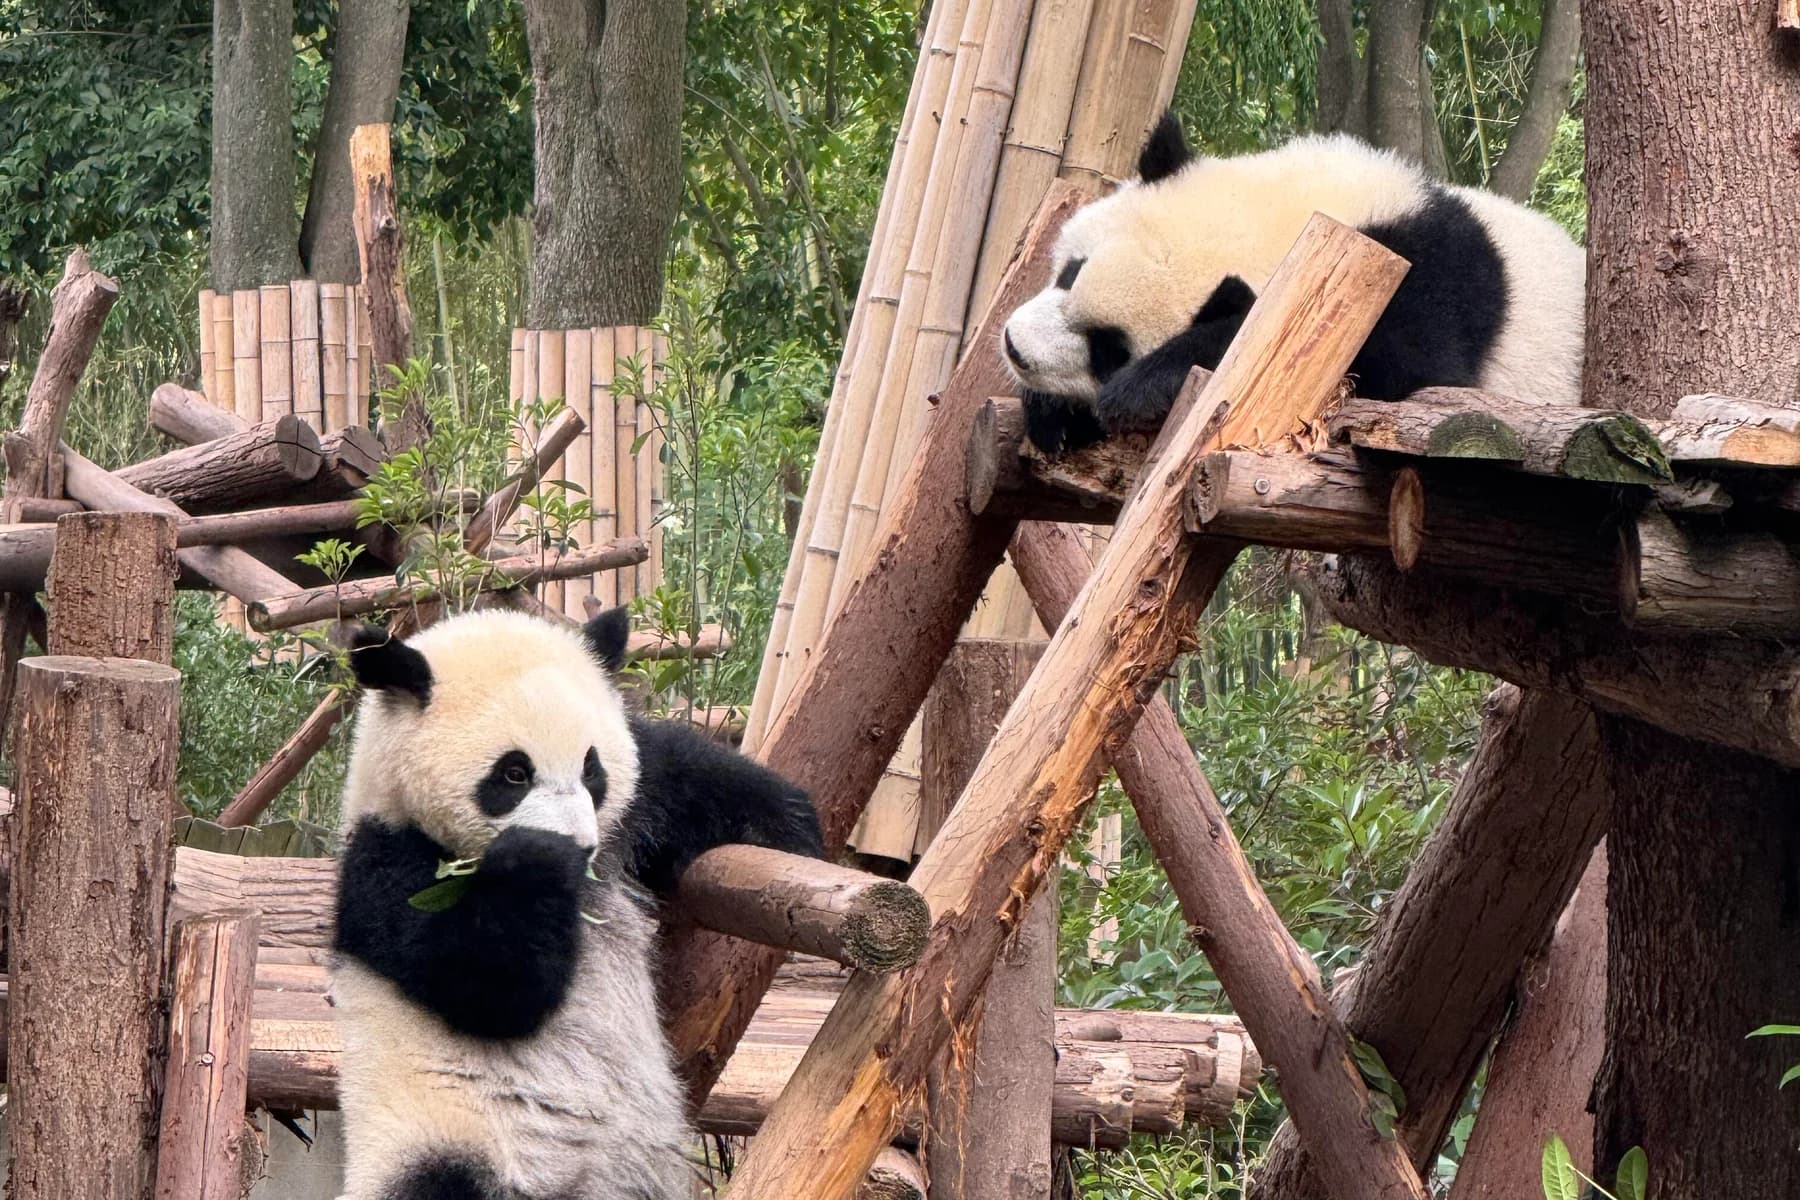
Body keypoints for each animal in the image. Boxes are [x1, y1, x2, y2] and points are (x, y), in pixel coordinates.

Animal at [327, 606, 823, 1200]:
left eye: (592, 768)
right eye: (514, 773)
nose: (581, 846)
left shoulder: (639, 803)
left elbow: (694, 777)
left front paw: (799, 834)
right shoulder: (388, 860)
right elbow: (488, 984)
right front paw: (541, 861)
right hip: (444, 1137)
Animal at [1002, 113, 1586, 455]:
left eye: (1109, 348)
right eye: (1071, 271)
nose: (1014, 347)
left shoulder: (1416, 282)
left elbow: (1401, 368)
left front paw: (1143, 386)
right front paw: (1055, 415)